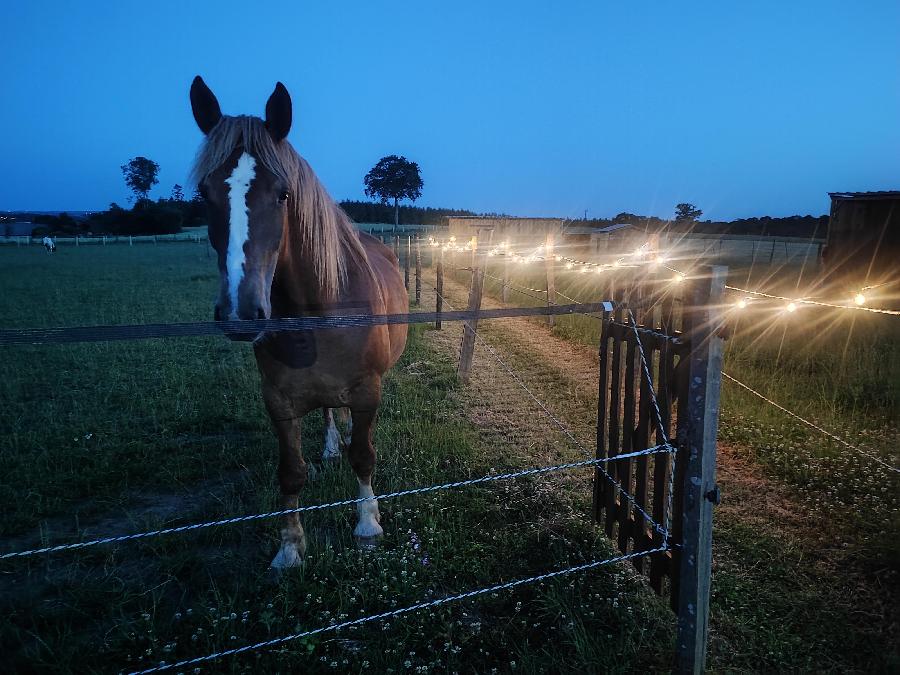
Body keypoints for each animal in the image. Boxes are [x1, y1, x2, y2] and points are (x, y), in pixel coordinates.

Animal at [189, 76, 408, 569]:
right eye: (204, 195)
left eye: (283, 193)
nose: (241, 310)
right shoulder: (278, 401)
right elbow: (290, 473)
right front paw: (290, 547)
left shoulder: (367, 391)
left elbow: (364, 455)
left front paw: (368, 525)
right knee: (327, 411)